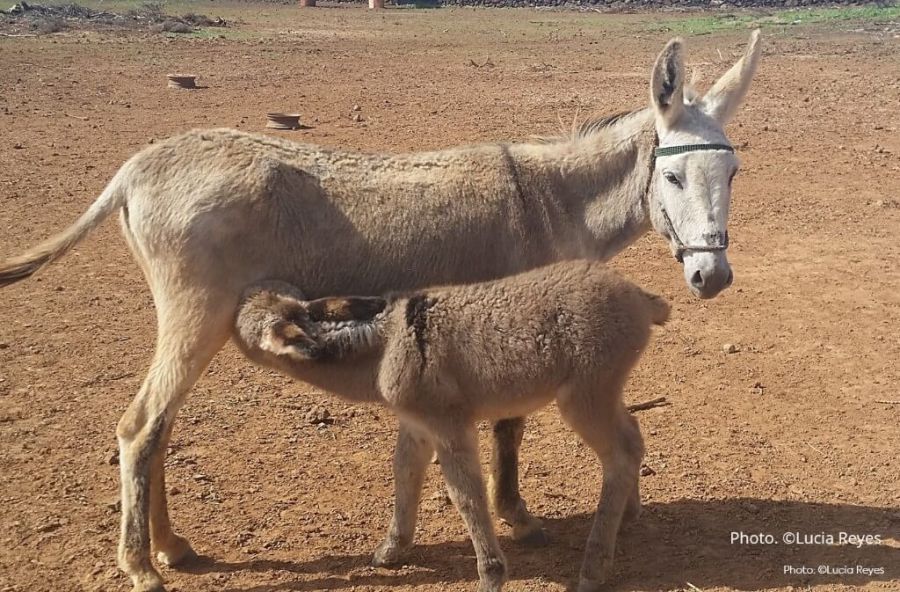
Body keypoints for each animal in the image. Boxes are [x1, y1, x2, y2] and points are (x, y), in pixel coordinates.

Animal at [232, 262, 668, 588]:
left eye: (242, 326)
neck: (386, 345)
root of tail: (639, 295)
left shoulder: (449, 427)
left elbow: (466, 495)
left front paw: (491, 575)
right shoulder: (417, 426)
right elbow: (404, 473)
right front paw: (391, 550)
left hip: (584, 396)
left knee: (621, 453)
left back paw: (594, 568)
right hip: (603, 393)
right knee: (632, 438)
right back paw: (627, 514)